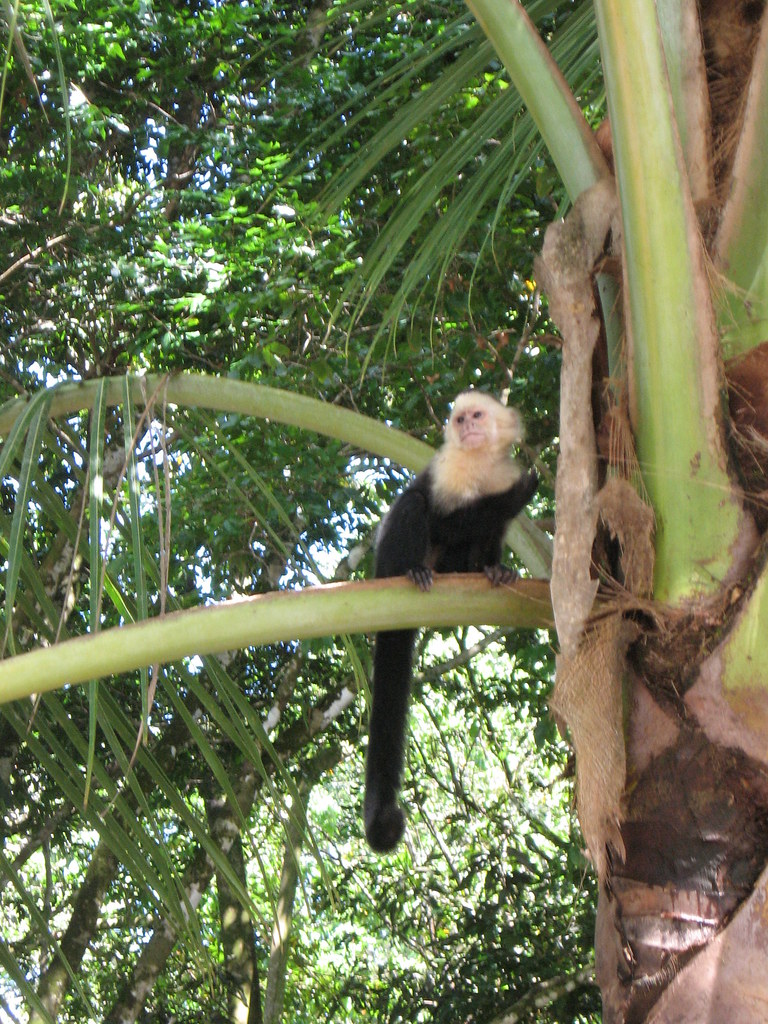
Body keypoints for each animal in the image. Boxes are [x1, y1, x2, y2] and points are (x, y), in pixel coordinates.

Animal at [364, 390, 538, 853]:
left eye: (476, 415)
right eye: (459, 419)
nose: (467, 426)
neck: (479, 462)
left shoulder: (499, 468)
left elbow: (492, 531)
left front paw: (497, 567)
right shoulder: (449, 468)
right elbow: (446, 518)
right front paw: (516, 497)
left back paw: (481, 571)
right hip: (385, 566)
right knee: (413, 505)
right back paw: (411, 571)